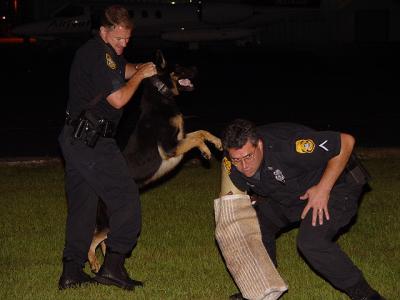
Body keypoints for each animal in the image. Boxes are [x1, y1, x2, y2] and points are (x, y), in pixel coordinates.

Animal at [87, 49, 222, 272]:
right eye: (178, 67)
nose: (196, 67)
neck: (162, 95)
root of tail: (100, 195)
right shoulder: (170, 148)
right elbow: (197, 138)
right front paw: (205, 151)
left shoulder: (179, 139)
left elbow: (201, 131)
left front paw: (217, 142)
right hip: (110, 223)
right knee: (93, 240)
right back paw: (95, 264)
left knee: (104, 243)